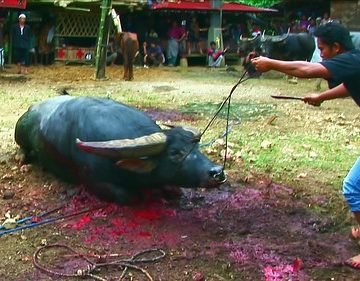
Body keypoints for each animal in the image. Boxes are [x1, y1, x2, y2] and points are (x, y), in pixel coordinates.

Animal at [16, 96, 226, 203]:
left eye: (196, 147)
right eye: (174, 153)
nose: (217, 172)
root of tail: (32, 108)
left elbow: (176, 190)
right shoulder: (94, 181)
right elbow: (129, 197)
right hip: (19, 135)